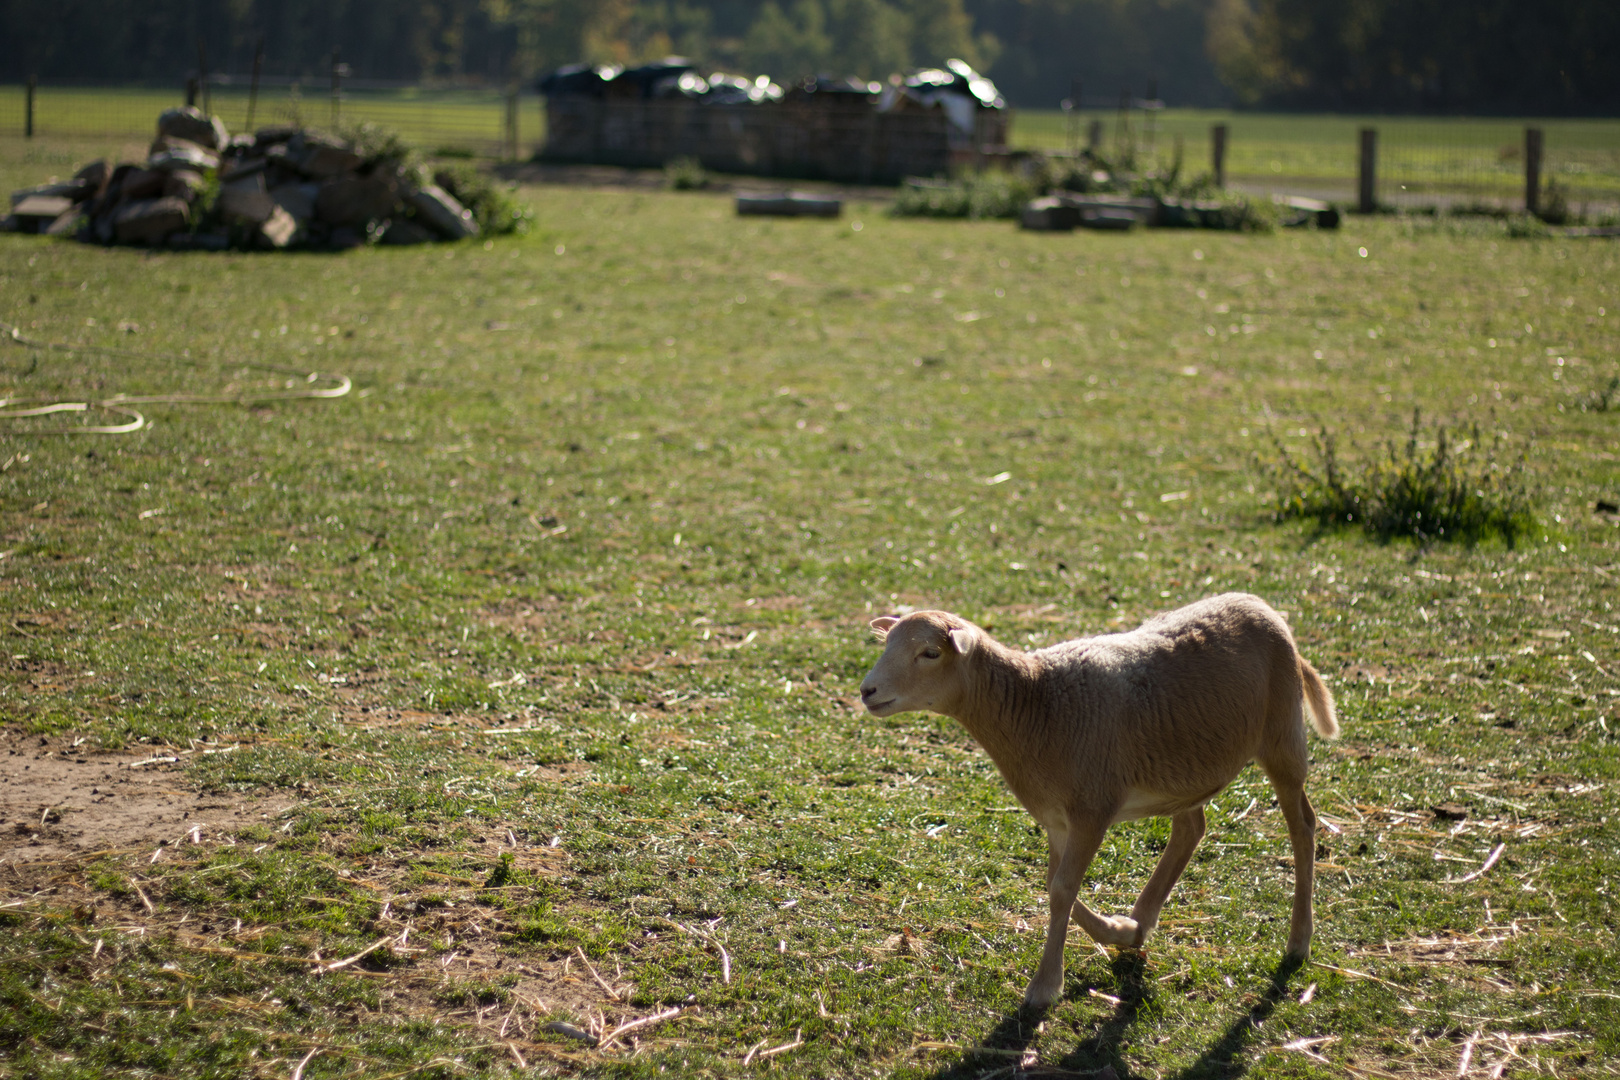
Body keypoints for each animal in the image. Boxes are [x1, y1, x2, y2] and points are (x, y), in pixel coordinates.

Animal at [861, 592, 1341, 1003]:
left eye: (931, 653)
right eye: (887, 643)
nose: (867, 690)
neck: (1034, 704)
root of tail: (1260, 605)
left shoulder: (1092, 808)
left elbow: (1062, 890)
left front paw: (1044, 986)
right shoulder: (1057, 818)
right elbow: (1057, 886)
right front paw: (1120, 932)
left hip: (1282, 735)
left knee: (1303, 825)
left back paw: (1299, 940)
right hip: (1188, 767)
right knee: (1191, 828)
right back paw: (1142, 918)